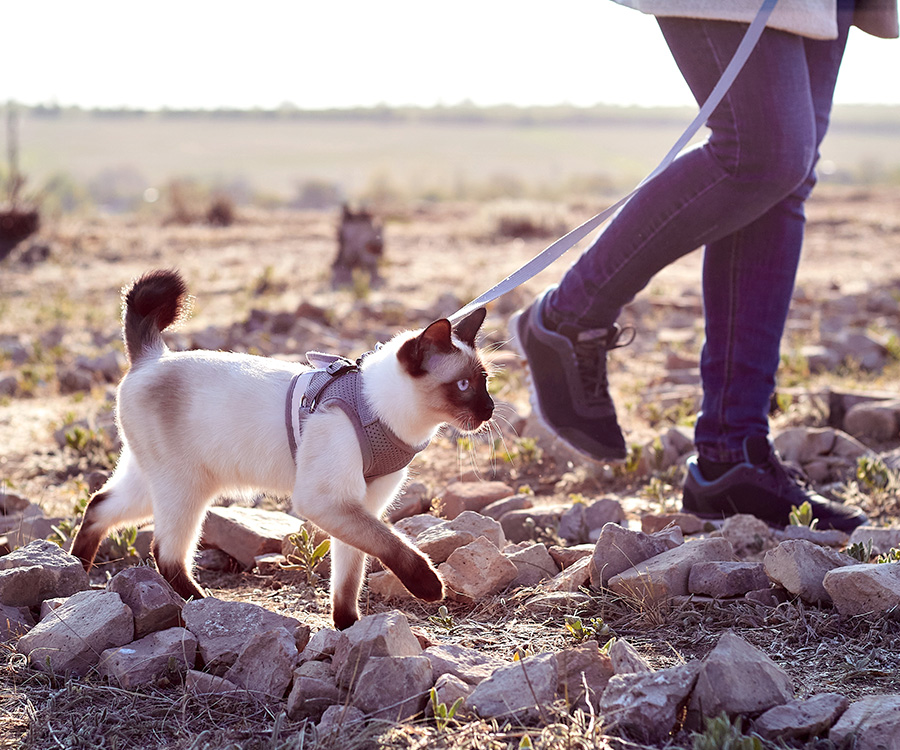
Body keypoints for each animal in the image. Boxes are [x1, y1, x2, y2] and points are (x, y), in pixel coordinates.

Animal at [72, 268, 492, 632]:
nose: (488, 409)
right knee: (165, 552)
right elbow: (392, 545)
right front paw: (430, 587)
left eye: (484, 381)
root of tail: (151, 356)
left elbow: (349, 576)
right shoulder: (328, 501)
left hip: (156, 484)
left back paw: (76, 570)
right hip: (185, 489)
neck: (383, 414)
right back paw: (203, 604)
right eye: (463, 386)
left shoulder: (360, 506)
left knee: (99, 506)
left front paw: (348, 628)